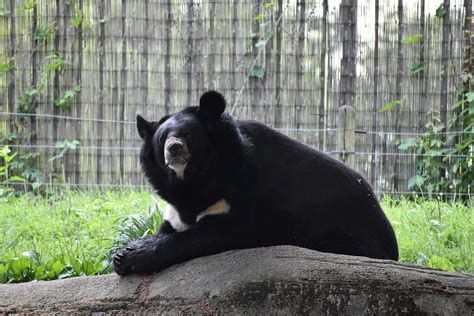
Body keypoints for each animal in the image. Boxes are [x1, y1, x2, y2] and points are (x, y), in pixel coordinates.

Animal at [113, 90, 398, 276]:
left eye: (187, 135)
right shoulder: (176, 207)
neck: (196, 178)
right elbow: (169, 228)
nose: (173, 149)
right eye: (163, 139)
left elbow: (215, 232)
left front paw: (131, 257)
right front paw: (122, 252)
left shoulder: (243, 195)